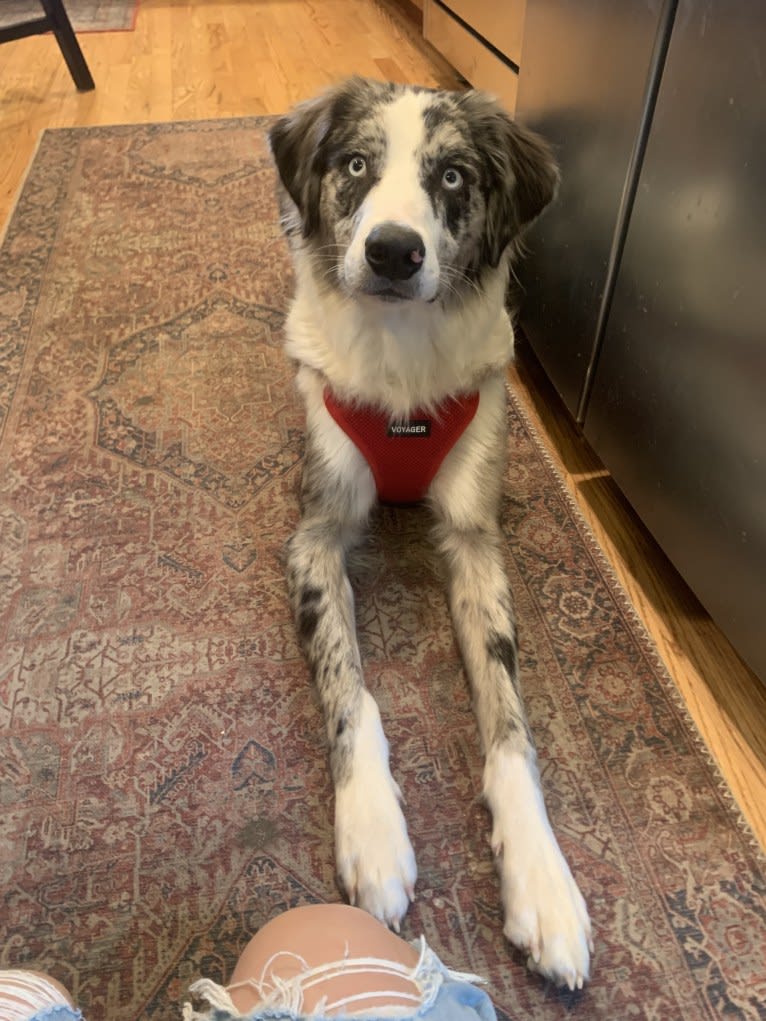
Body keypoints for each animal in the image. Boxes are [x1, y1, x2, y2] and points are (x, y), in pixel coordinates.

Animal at [269, 77, 592, 988]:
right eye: (354, 164)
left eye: (452, 176)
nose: (392, 252)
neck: (403, 375)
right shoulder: (316, 535)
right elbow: (351, 687)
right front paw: (373, 831)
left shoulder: (477, 540)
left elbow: (509, 719)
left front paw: (543, 880)